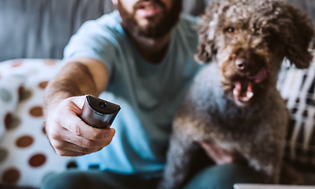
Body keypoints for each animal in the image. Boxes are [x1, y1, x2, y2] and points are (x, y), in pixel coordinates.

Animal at [160, 0, 315, 188]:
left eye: (271, 34)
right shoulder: (182, 148)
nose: (246, 64)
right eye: (230, 29)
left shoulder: (266, 164)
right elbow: (172, 179)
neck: (235, 115)